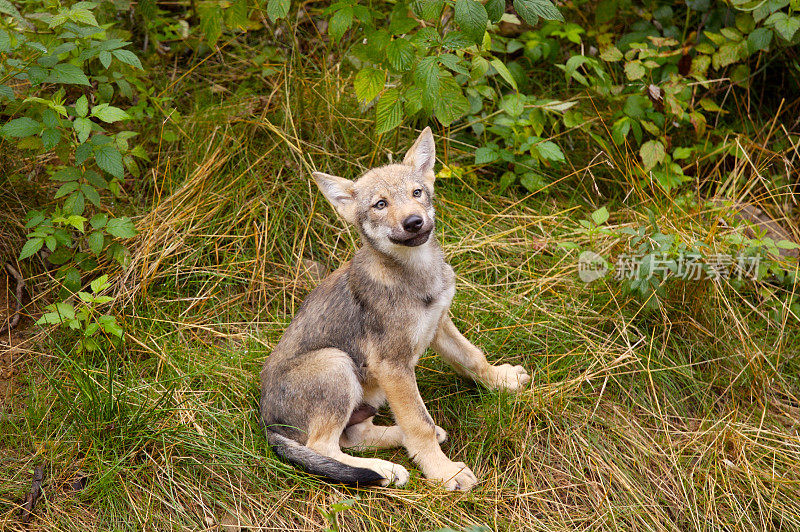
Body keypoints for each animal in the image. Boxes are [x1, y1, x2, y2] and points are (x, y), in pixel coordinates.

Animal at [258, 128, 532, 490]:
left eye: (417, 193)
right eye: (380, 204)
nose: (414, 222)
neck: (417, 275)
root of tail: (268, 426)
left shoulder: (439, 325)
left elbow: (473, 358)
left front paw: (501, 380)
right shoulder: (393, 366)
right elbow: (419, 423)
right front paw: (445, 472)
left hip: (368, 395)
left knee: (353, 437)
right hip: (336, 363)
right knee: (323, 447)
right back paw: (385, 470)